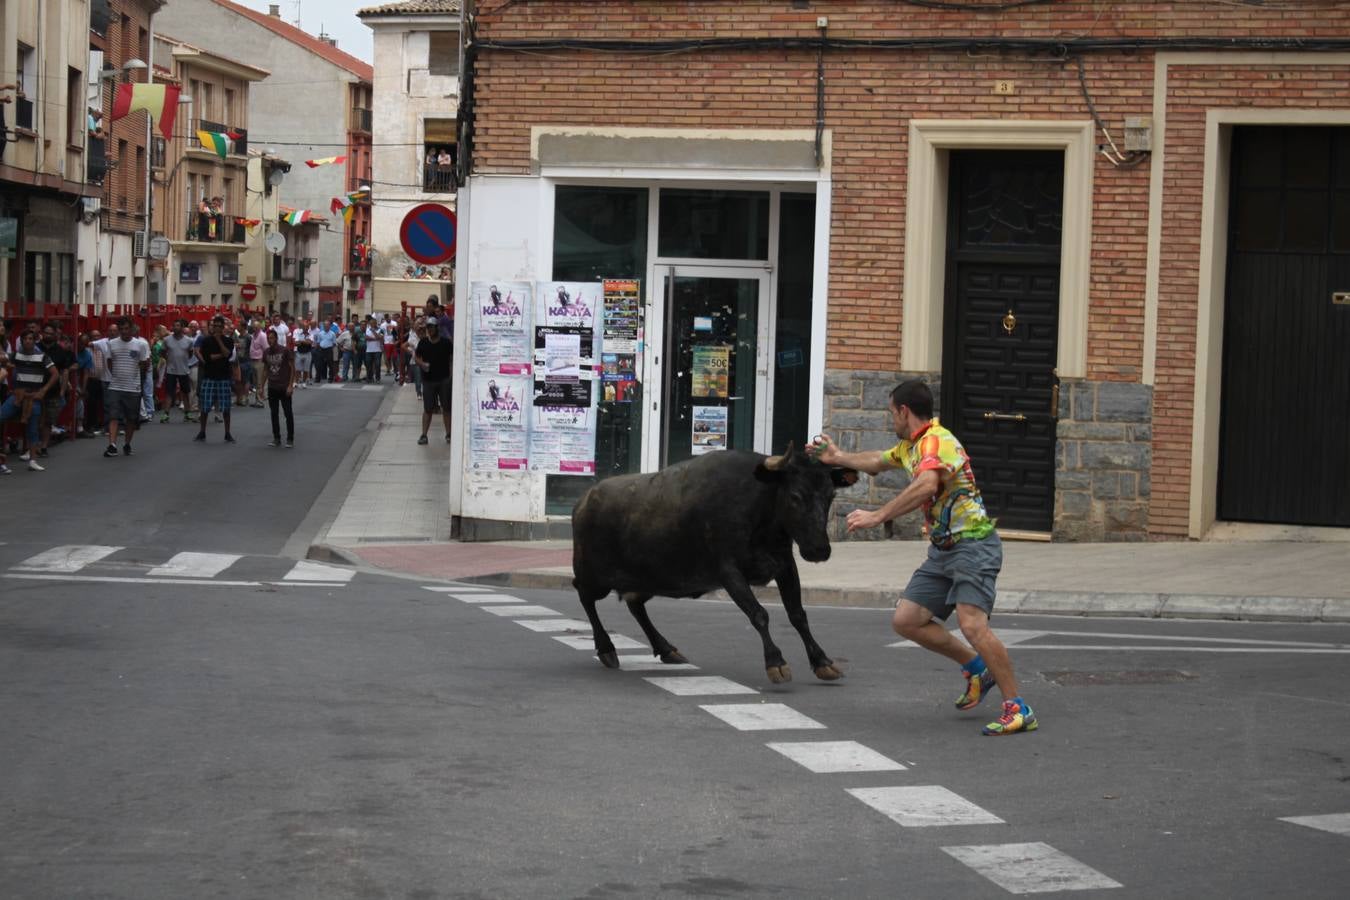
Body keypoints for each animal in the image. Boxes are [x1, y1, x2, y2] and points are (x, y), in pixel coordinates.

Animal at [569, 447, 853, 685]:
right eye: (795, 495)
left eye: (831, 494)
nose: (819, 550)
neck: (758, 508)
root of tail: (583, 501)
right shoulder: (729, 572)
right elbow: (759, 614)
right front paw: (776, 662)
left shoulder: (785, 566)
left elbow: (798, 615)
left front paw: (822, 662)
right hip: (593, 576)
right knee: (585, 598)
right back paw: (607, 648)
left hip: (649, 579)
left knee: (635, 605)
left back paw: (667, 649)